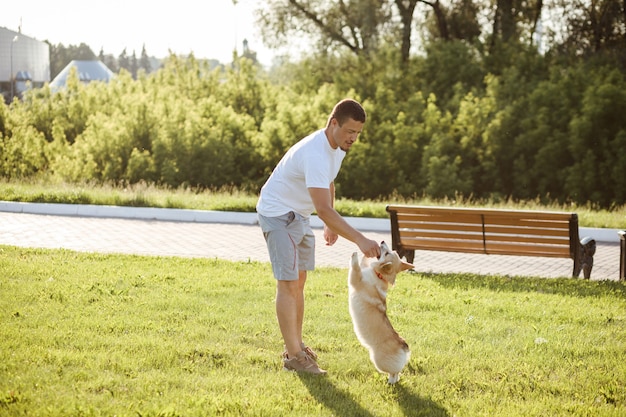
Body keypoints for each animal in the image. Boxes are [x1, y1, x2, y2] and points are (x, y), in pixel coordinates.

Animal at [348, 240, 412, 384]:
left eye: (387, 253)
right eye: (392, 251)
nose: (382, 241)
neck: (379, 275)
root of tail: (403, 345)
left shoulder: (356, 280)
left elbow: (355, 268)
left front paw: (354, 256)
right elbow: (363, 262)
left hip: (378, 361)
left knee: (393, 372)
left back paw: (391, 382)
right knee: (397, 372)